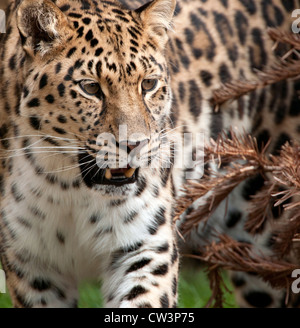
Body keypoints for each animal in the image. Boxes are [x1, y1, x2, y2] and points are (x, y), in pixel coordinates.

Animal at [0, 0, 298, 308]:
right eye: (90, 87)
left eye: (148, 84)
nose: (135, 145)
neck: (69, 189)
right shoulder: (33, 266)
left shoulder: (146, 247)